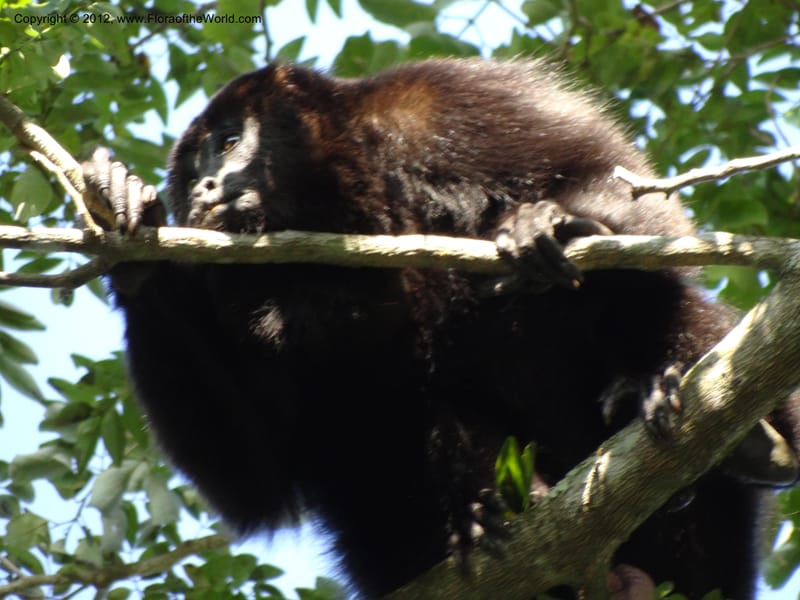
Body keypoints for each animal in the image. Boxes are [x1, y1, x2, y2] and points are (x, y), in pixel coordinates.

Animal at [82, 59, 800, 598]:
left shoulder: (444, 104)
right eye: (189, 172)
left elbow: (618, 190)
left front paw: (555, 224)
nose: (202, 188)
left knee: (670, 305)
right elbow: (256, 476)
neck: (337, 207)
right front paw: (128, 228)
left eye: (230, 142)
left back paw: (740, 435)